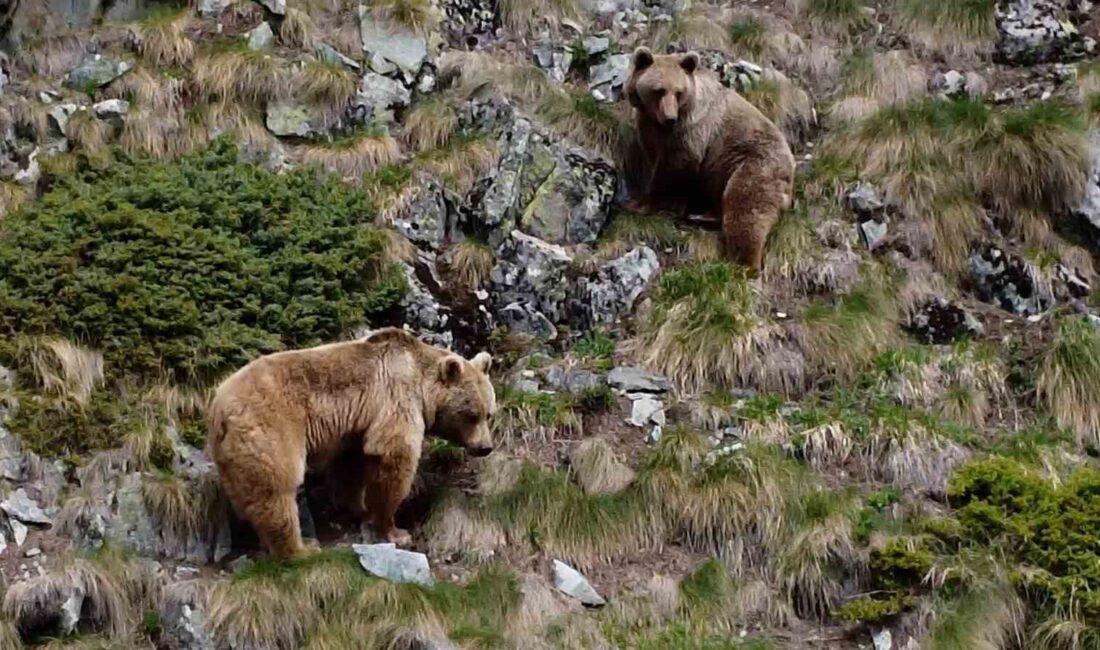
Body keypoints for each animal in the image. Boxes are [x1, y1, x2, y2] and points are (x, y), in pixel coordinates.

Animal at [206, 329, 499, 558]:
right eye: (471, 415)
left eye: (489, 413)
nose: (485, 447)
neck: (422, 382)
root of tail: (219, 408)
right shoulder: (396, 397)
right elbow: (395, 455)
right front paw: (395, 530)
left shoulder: (356, 426)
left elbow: (351, 467)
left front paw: (358, 508)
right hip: (271, 428)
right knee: (278, 487)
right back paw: (301, 549)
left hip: (232, 453)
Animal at [624, 45, 796, 269]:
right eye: (659, 90)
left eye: (678, 92)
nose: (670, 118)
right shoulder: (648, 127)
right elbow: (654, 158)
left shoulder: (691, 129)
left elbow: (675, 167)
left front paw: (643, 204)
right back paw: (704, 216)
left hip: (756, 165)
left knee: (745, 207)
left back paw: (743, 263)